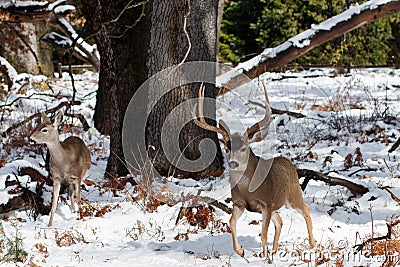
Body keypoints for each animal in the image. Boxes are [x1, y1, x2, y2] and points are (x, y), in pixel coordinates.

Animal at [192, 85, 318, 262]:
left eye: (244, 148)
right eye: (227, 148)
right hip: (277, 205)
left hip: (293, 193)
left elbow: (264, 234)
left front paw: (264, 258)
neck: (248, 189)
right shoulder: (239, 203)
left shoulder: (266, 203)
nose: (233, 163)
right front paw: (241, 251)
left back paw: (312, 244)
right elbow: (231, 222)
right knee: (280, 221)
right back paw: (274, 250)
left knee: (305, 210)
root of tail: (288, 162)